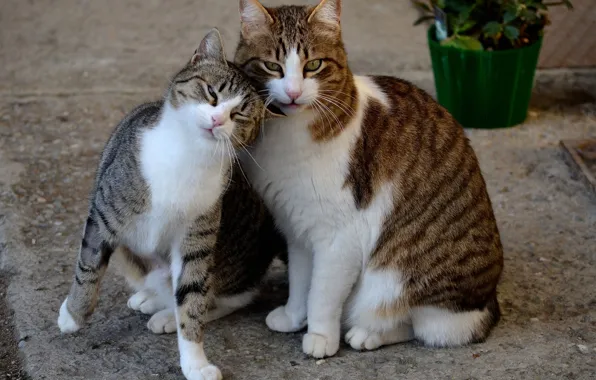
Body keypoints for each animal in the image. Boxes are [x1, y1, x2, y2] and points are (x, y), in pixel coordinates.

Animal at [57, 27, 286, 380]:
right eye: (211, 93)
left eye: (239, 114)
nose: (217, 120)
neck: (188, 154)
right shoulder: (104, 213)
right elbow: (88, 266)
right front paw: (73, 314)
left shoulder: (196, 237)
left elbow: (192, 299)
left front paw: (195, 362)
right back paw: (150, 299)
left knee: (225, 297)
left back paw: (166, 315)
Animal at [235, 0, 506, 360]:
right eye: (272, 66)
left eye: (313, 65)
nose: (293, 93)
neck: (288, 137)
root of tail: (490, 304)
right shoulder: (298, 229)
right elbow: (301, 282)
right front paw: (294, 317)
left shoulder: (339, 240)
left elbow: (321, 294)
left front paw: (320, 336)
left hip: (396, 281)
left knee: (419, 325)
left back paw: (368, 333)